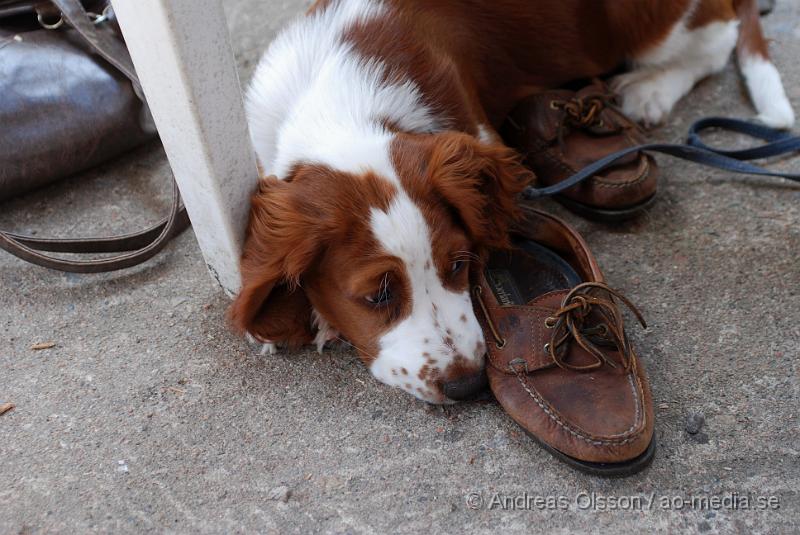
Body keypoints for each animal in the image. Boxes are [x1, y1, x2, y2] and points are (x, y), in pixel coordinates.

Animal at [230, 0, 792, 402]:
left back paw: (647, 89)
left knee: (716, 38)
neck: (340, 106)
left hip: (642, 20)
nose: (469, 386)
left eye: (459, 264)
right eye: (376, 296)